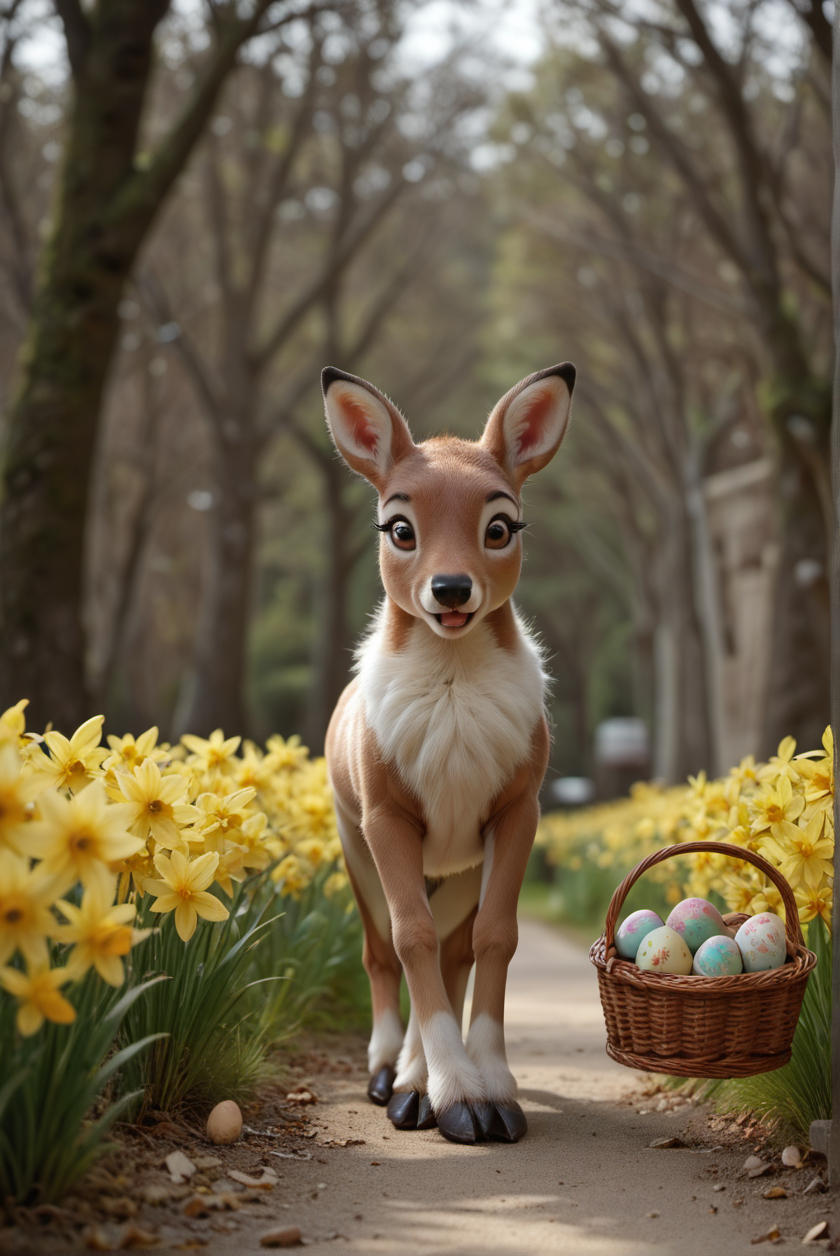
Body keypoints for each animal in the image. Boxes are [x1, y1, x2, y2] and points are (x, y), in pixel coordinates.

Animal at [322, 362, 576, 1145]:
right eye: (399, 527)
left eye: (500, 526)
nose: (452, 588)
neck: (456, 685)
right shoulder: (386, 819)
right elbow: (408, 941)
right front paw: (456, 1097)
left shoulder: (515, 813)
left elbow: (494, 938)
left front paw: (488, 1088)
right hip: (357, 848)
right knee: (383, 948)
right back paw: (390, 1074)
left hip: (458, 866)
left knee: (454, 948)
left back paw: (413, 1081)